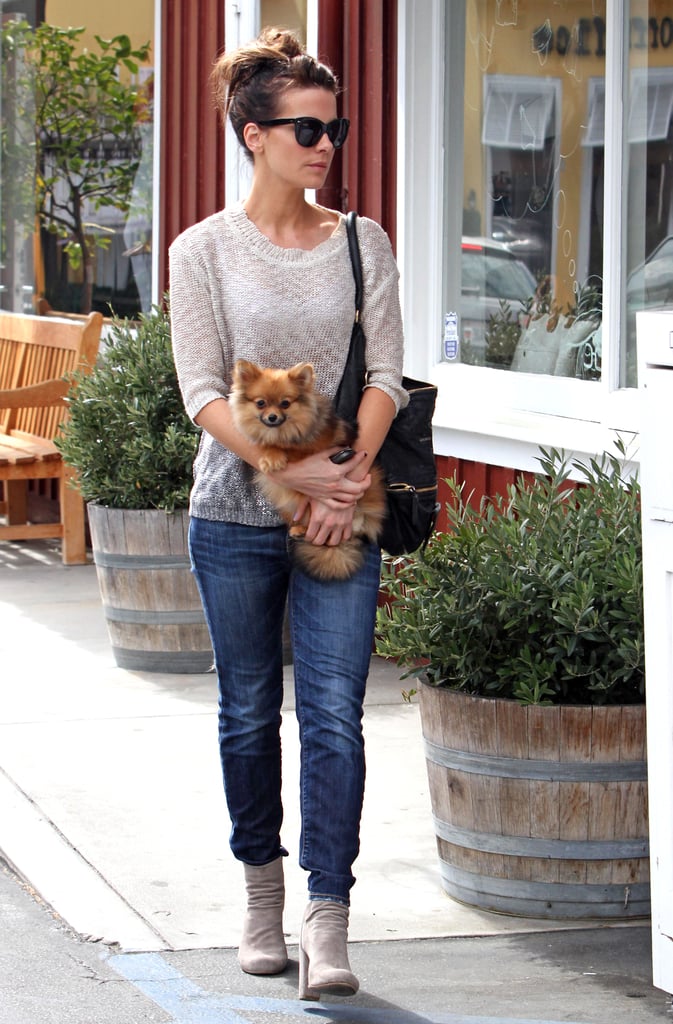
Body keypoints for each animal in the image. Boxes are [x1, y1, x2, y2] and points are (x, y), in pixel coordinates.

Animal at [229, 358, 383, 581]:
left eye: (285, 403)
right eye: (261, 403)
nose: (272, 417)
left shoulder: (312, 449)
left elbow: (285, 447)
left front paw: (273, 454)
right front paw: (268, 451)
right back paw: (299, 529)